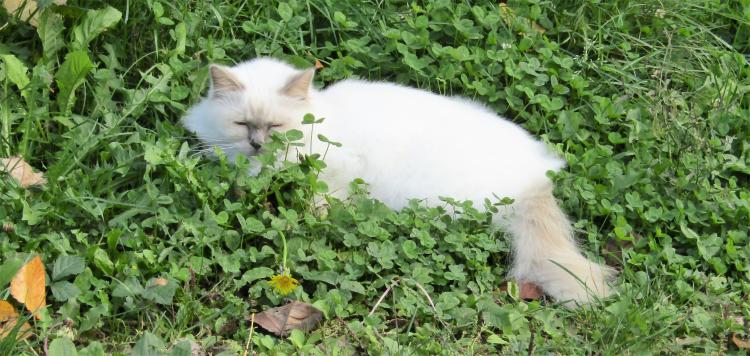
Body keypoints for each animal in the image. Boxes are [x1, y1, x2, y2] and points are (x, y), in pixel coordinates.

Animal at [184, 57, 616, 304]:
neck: (322, 120)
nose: (257, 145)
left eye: (274, 128)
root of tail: (534, 181)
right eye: (243, 125)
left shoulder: (335, 174)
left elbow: (320, 204)